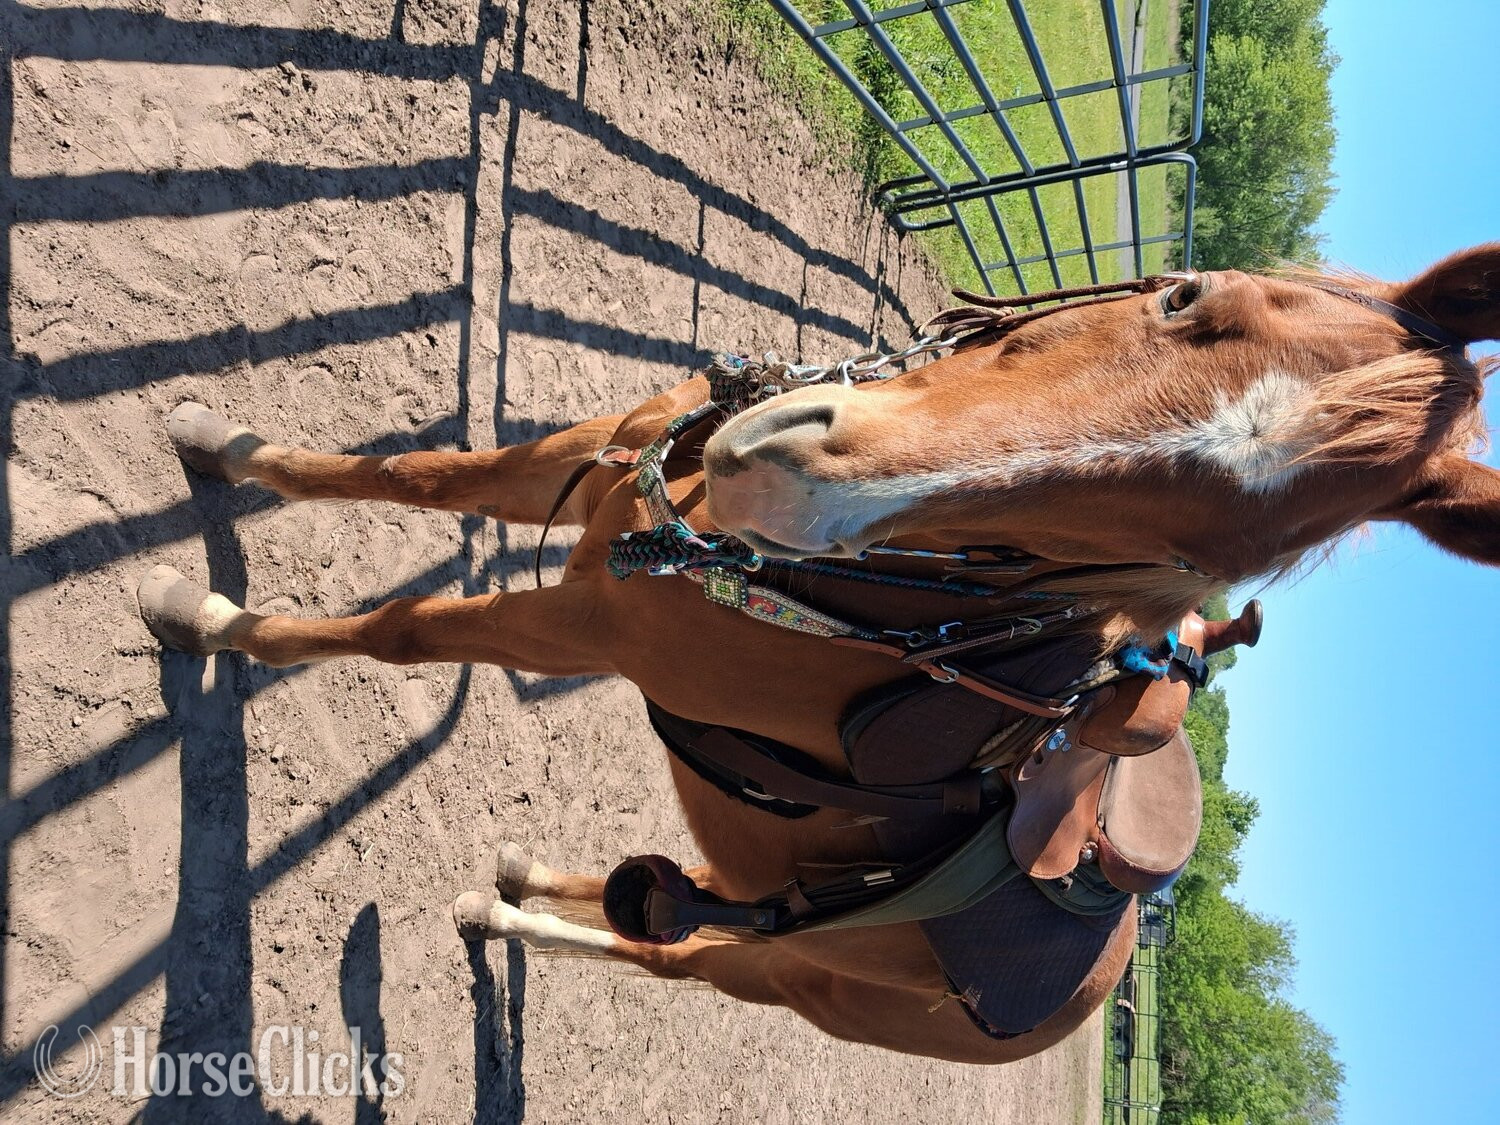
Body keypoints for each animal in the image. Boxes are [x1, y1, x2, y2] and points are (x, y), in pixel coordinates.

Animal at [136, 244, 1500, 1064]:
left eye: (1185, 555)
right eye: (1183, 300)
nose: (780, 470)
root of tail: (1089, 989)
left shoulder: (579, 627)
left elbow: (398, 632)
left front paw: (201, 616)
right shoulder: (587, 452)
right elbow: (417, 473)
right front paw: (214, 436)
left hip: (790, 978)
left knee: (667, 951)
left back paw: (508, 915)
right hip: (766, 901)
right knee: (670, 895)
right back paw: (512, 883)